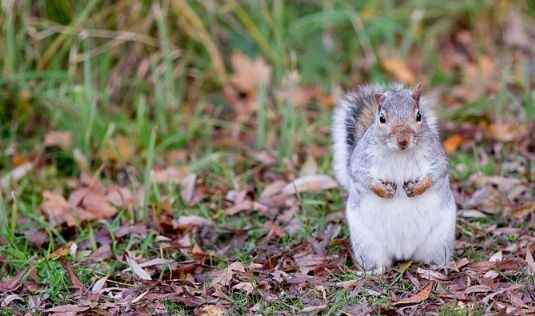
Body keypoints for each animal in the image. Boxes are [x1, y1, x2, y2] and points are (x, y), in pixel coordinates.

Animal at [332, 82, 458, 272]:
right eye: (381, 118)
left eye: (419, 116)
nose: (402, 140)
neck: (400, 153)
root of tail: (403, 253)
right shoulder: (361, 158)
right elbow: (358, 174)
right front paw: (383, 190)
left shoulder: (436, 156)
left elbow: (438, 171)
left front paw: (417, 188)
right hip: (367, 244)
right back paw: (375, 272)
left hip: (440, 240)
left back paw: (436, 268)